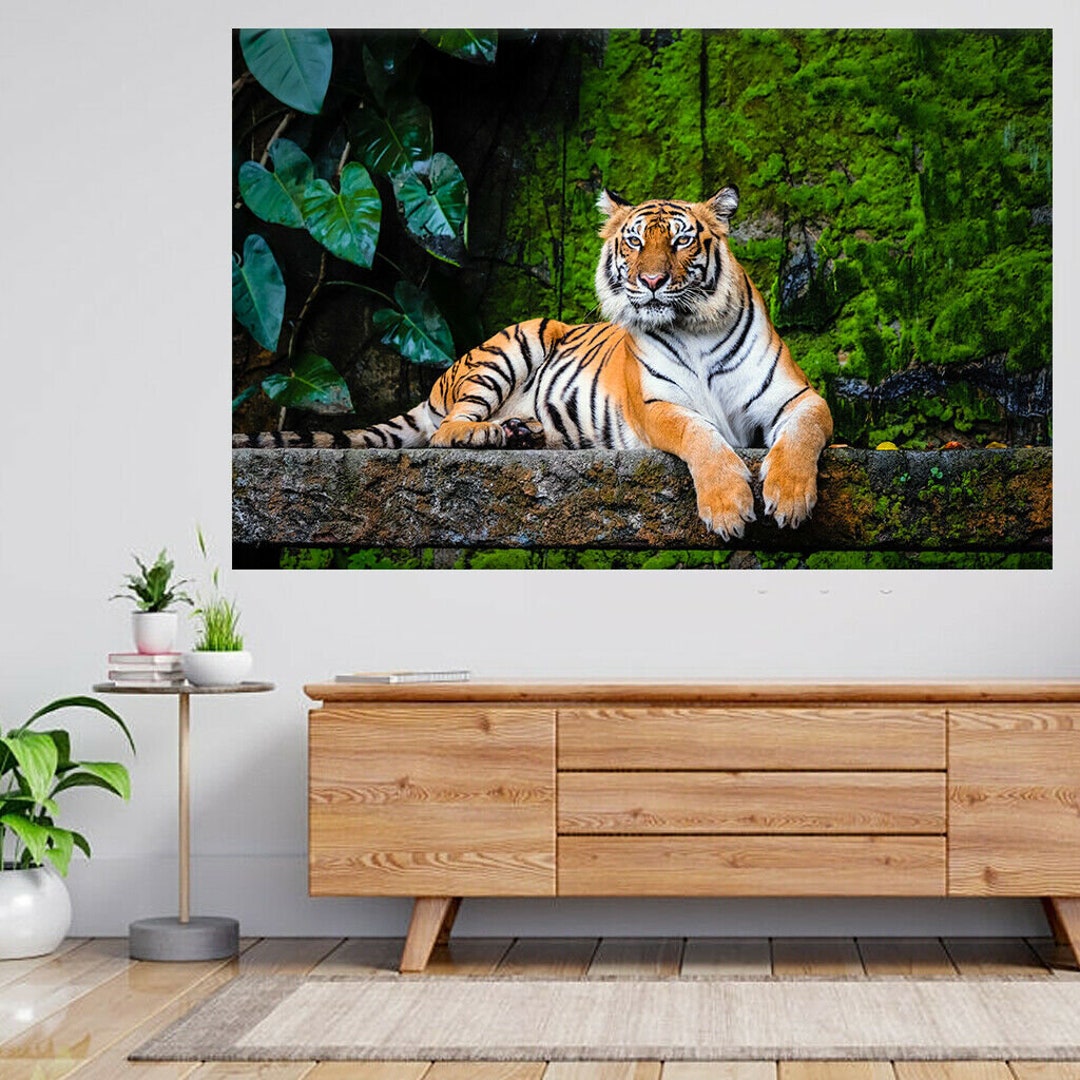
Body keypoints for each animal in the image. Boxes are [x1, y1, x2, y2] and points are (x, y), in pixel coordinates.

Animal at [238, 187, 833, 540]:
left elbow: (802, 435)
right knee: (446, 431)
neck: (693, 326)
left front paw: (789, 499)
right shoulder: (658, 405)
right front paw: (730, 508)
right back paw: (491, 434)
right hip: (512, 345)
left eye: (684, 240)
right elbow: (702, 438)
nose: (652, 281)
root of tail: (438, 383)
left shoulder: (799, 397)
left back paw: (524, 431)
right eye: (634, 242)